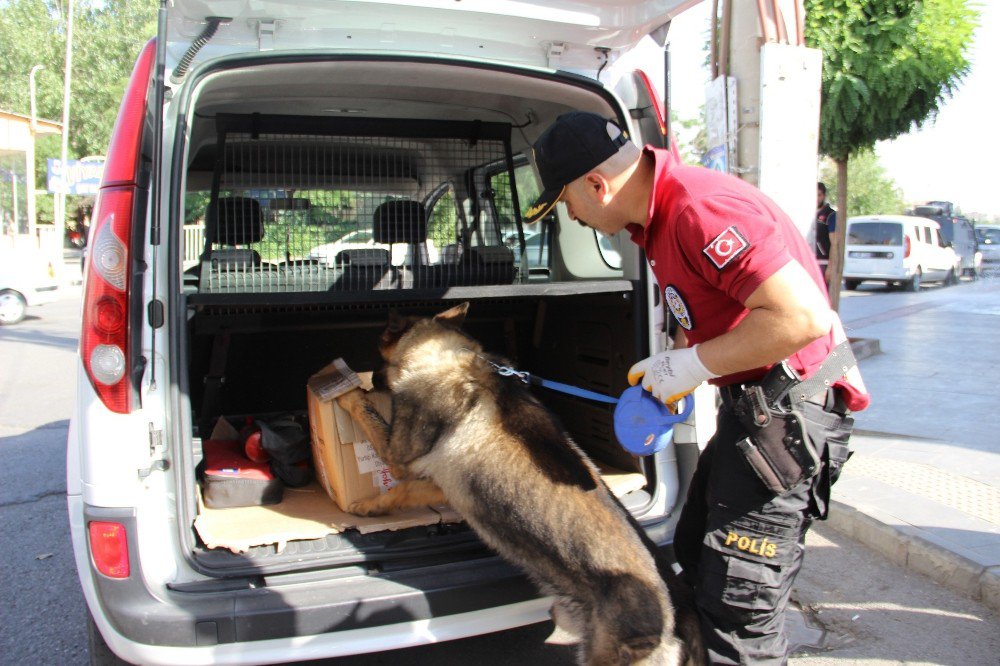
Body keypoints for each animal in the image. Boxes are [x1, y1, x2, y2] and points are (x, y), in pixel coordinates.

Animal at [336, 304, 704, 660]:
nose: (370, 378)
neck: (445, 355)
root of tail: (680, 613)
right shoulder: (437, 485)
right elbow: (407, 490)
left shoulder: (397, 457)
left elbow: (371, 422)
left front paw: (347, 396)